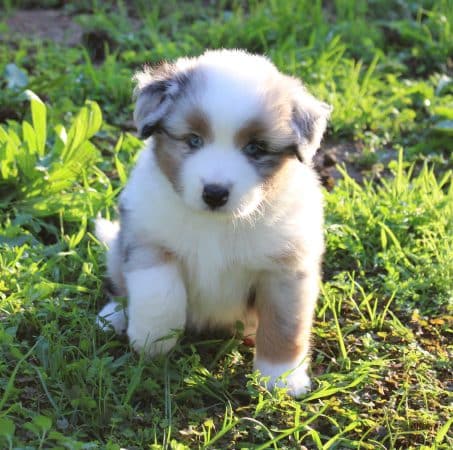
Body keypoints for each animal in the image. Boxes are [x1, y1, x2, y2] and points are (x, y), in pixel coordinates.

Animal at [96, 49, 328, 396]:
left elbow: (285, 326)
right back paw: (113, 317)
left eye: (256, 148)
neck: (216, 224)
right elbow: (160, 294)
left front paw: (281, 380)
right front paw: (153, 339)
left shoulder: (287, 268)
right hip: (118, 248)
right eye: (193, 140)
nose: (215, 193)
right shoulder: (148, 238)